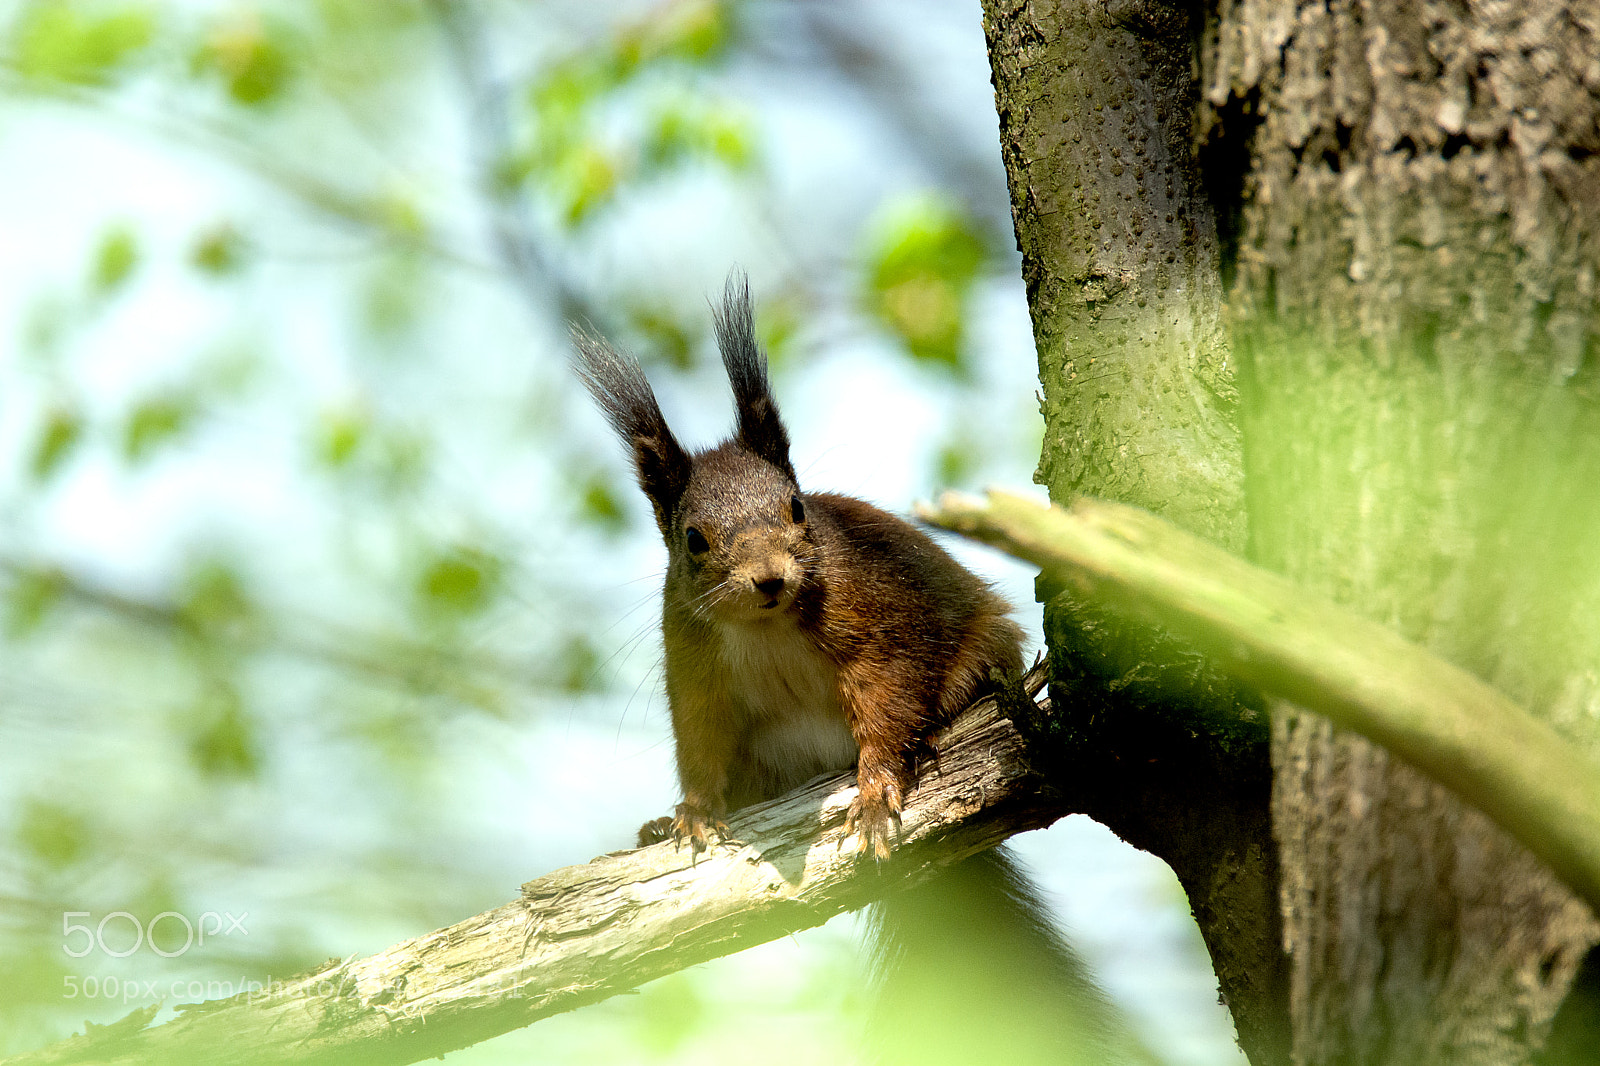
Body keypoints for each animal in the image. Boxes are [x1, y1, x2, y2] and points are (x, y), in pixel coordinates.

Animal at [573, 275, 1023, 859]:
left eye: (796, 507)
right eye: (693, 539)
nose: (770, 578)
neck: (766, 626)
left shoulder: (879, 616)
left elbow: (890, 695)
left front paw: (875, 791)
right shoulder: (695, 662)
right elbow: (700, 740)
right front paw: (695, 812)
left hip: (987, 647)